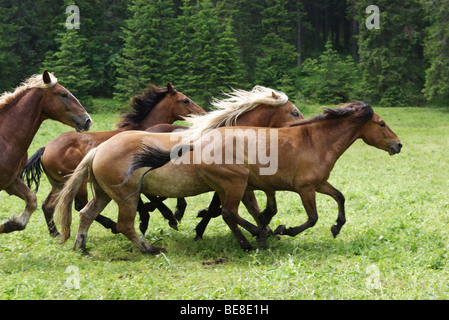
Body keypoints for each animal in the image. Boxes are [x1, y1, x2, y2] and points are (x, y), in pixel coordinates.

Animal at [0, 70, 92, 234]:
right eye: (63, 94)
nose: (87, 120)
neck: (6, 138)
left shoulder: (10, 181)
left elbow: (32, 201)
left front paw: (9, 224)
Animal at [20, 84, 203, 236]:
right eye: (185, 100)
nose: (202, 114)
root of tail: (45, 148)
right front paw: (167, 215)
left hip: (59, 184)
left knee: (48, 205)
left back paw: (55, 233)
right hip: (77, 182)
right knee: (80, 205)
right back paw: (112, 226)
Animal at [54, 101, 400, 254]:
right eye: (382, 124)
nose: (398, 145)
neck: (314, 141)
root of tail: (97, 150)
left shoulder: (316, 184)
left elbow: (339, 197)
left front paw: (336, 226)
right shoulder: (304, 188)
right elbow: (309, 218)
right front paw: (283, 230)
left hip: (104, 192)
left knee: (86, 214)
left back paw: (82, 246)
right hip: (131, 194)